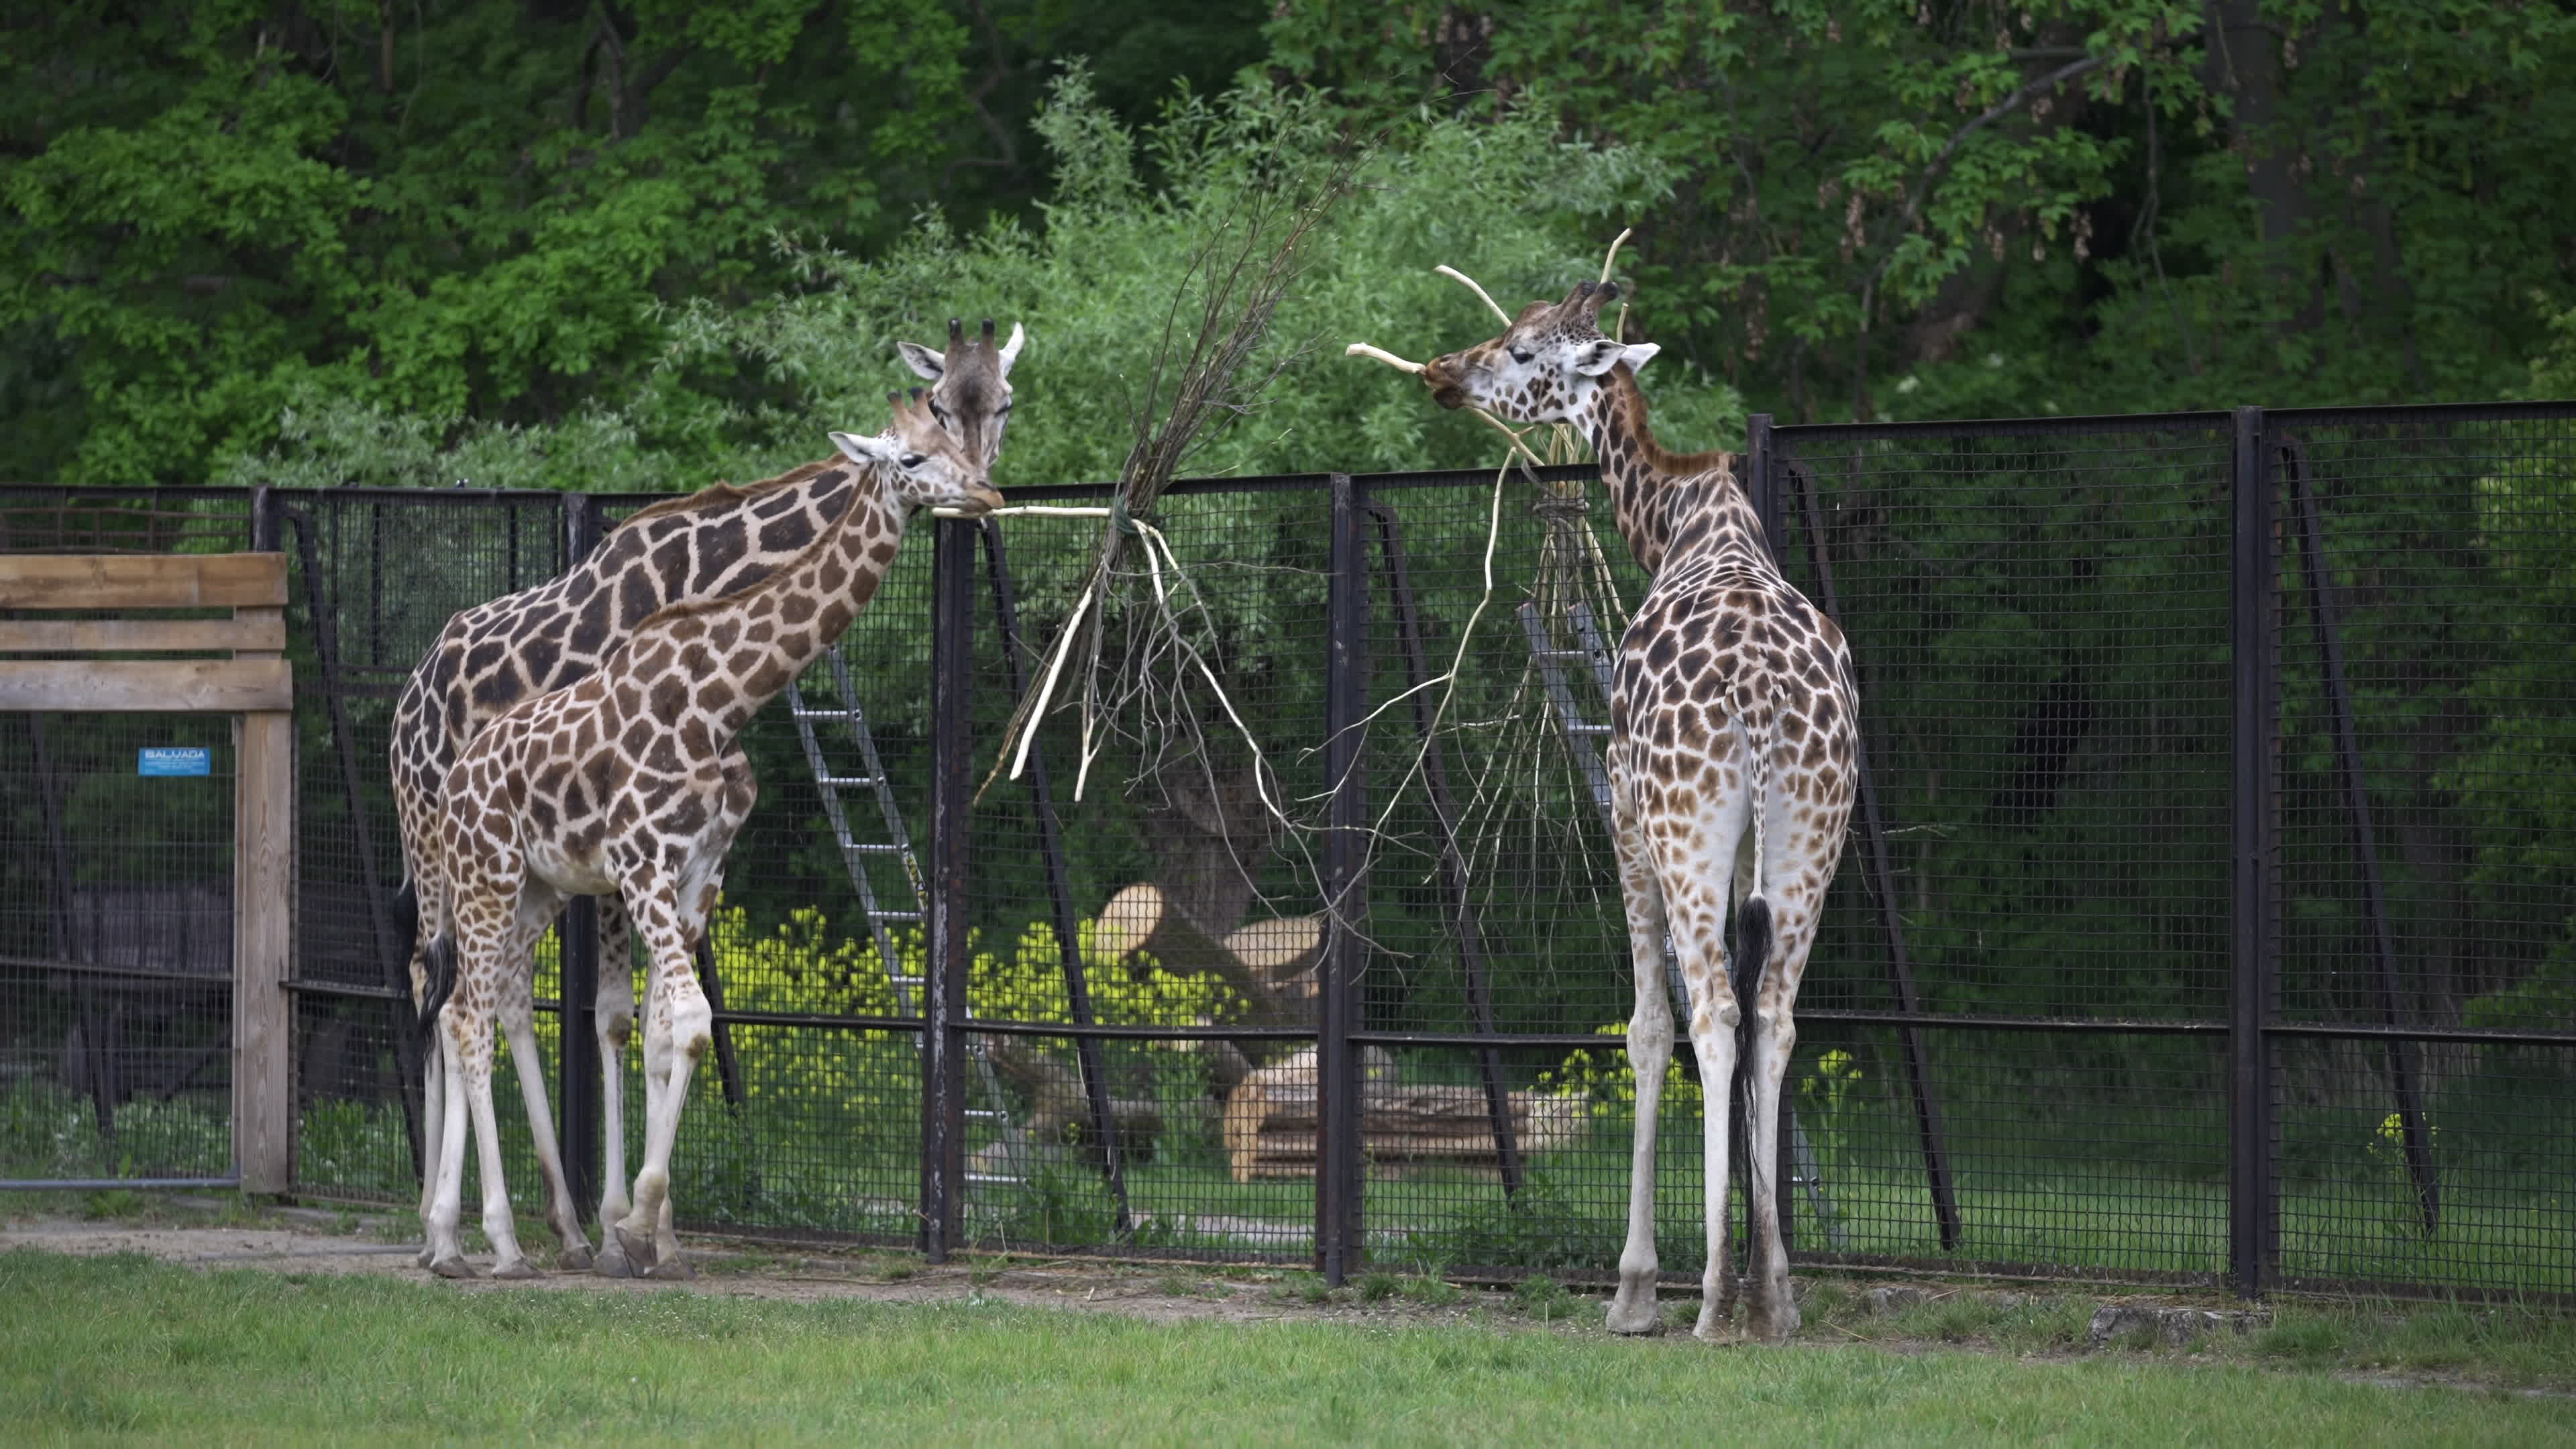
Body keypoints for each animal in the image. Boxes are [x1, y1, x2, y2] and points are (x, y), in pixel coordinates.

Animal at [388, 320, 1023, 1272]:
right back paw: (455, 1231)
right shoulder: (636, 864)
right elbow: (636, 1020)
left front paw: (650, 1232)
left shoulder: (694, 871)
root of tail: (410, 698)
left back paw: (546, 1226)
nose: (986, 491)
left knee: (494, 1000)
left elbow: (668, 1027)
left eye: (1004, 404)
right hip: (446, 857)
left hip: (531, 884)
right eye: (932, 424)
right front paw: (632, 1221)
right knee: (442, 997)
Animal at [1421, 280, 1857, 1342]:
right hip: (1812, 835)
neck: (1677, 522)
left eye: (1522, 347)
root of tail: (1759, 698)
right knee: (1774, 1015)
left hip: (1681, 825)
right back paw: (1775, 1297)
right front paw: (1761, 1275)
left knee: (1711, 1012)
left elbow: (1646, 1029)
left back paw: (1708, 1301)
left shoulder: (1623, 805)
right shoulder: (1744, 859)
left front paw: (1633, 1289)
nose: (1444, 373)